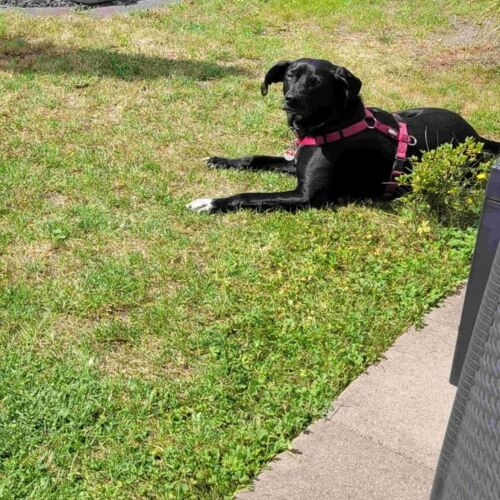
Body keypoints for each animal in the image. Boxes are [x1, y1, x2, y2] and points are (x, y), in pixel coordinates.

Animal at [187, 58, 499, 213]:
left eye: (316, 82)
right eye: (290, 75)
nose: (291, 100)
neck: (330, 124)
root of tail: (477, 137)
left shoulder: (307, 196)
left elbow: (249, 196)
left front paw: (211, 202)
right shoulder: (294, 164)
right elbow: (254, 158)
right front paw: (220, 160)